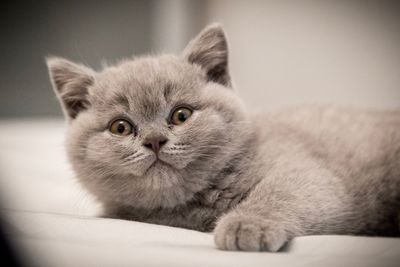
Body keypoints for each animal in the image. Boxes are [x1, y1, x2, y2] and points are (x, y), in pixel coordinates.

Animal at [47, 24, 400, 252]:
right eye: (120, 128)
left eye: (181, 115)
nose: (155, 140)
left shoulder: (307, 171)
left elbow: (283, 190)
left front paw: (246, 225)